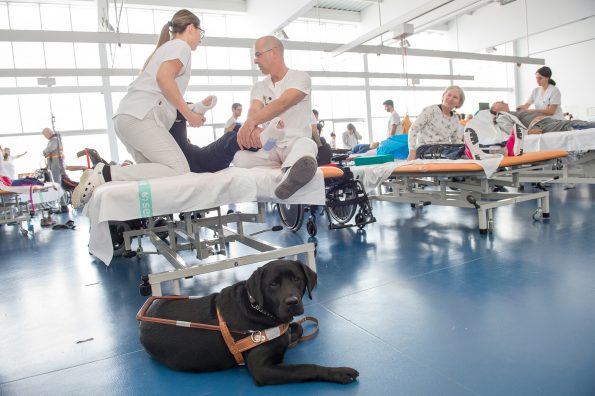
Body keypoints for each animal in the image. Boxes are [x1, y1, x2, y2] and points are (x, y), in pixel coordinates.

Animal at [140, 258, 358, 386]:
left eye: (297, 279)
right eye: (273, 284)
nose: (292, 302)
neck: (259, 309)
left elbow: (296, 327)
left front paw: (291, 333)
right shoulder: (263, 369)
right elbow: (306, 367)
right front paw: (338, 372)